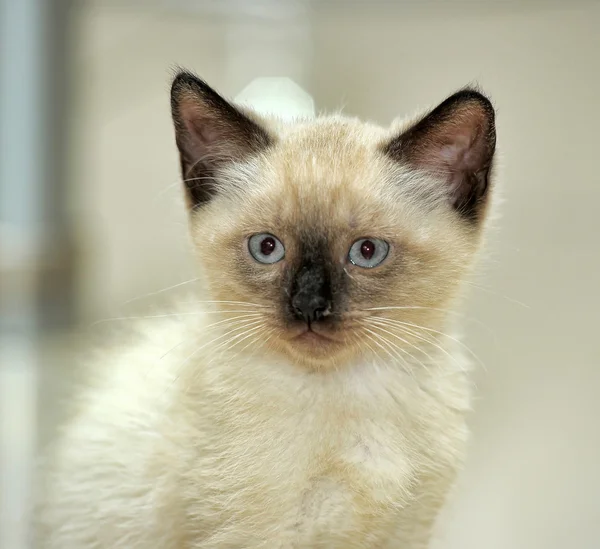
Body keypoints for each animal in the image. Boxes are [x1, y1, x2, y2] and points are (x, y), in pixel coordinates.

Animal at [36, 74, 496, 548]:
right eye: (267, 248)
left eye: (367, 252)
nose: (308, 306)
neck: (347, 391)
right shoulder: (252, 536)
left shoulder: (406, 534)